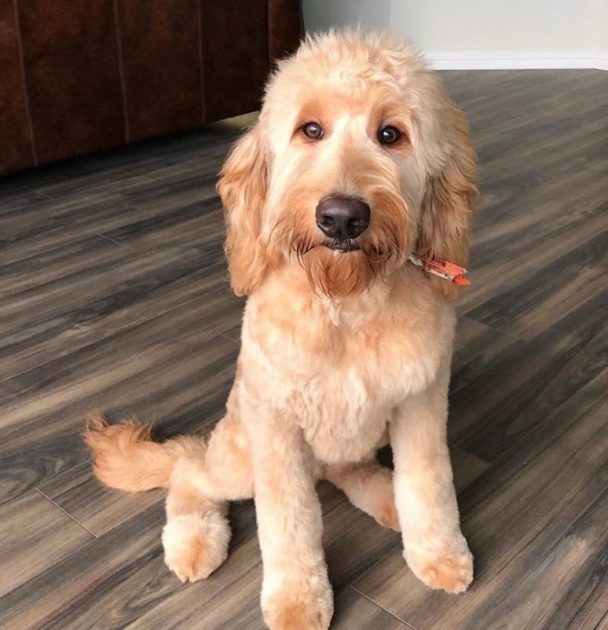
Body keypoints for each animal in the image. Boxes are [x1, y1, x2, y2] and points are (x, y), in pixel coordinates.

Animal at [85, 29, 478, 630]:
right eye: (309, 130)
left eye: (390, 134)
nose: (342, 217)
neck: (345, 304)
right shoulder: (276, 428)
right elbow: (288, 522)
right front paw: (298, 598)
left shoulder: (420, 404)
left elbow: (428, 484)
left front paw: (437, 552)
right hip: (238, 451)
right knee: (190, 474)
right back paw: (193, 539)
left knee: (347, 468)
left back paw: (385, 497)